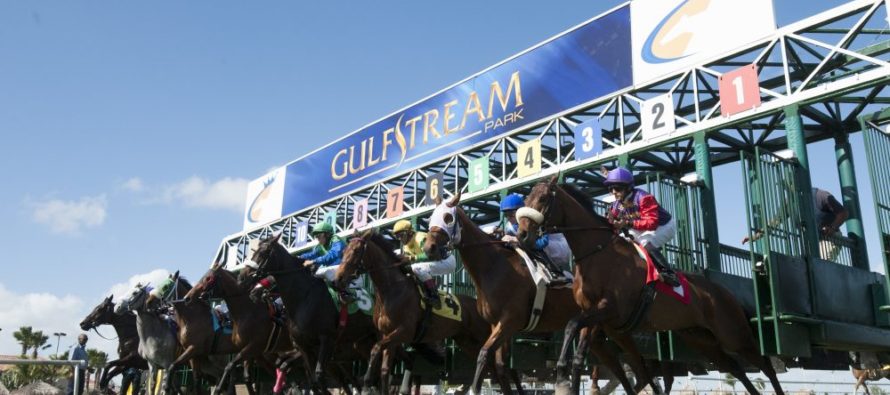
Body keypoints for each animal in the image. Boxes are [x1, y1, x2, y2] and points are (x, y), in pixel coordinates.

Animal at [184, 264, 302, 394]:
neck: (247, 311)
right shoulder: (250, 350)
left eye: (208, 278)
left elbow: (230, 366)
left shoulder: (253, 346)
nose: (187, 298)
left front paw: (218, 389)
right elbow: (247, 377)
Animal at [243, 234, 378, 394]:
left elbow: (318, 375)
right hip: (362, 342)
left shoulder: (326, 339)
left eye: (264, 252)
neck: (304, 298)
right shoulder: (304, 347)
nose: (244, 276)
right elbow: (313, 379)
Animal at [332, 230, 512, 394]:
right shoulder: (387, 335)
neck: (391, 290)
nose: (337, 280)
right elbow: (384, 370)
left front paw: (367, 382)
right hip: (466, 341)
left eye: (356, 251)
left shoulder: (404, 331)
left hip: (482, 335)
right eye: (343, 251)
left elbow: (375, 349)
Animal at [424, 194, 660, 395]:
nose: (429, 248)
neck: (493, 266)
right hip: (601, 330)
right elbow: (500, 366)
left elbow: (484, 356)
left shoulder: (509, 320)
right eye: (431, 218)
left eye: (448, 217)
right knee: (619, 364)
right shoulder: (497, 324)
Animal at [520, 179, 784, 395]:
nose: (523, 235)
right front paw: (564, 378)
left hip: (732, 333)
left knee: (765, 365)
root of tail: (725, 292)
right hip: (701, 339)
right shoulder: (594, 315)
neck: (598, 253)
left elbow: (572, 325)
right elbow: (575, 344)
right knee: (735, 368)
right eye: (526, 199)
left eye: (543, 199)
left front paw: (562, 379)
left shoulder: (609, 309)